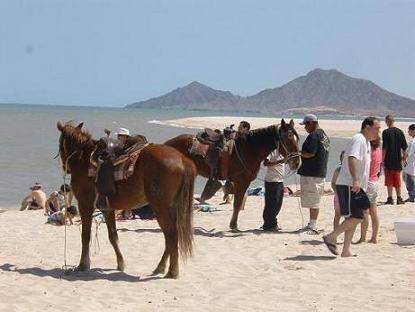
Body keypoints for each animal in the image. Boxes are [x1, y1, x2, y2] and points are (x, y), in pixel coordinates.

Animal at [56, 121, 197, 278]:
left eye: (60, 143)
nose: (65, 168)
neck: (85, 160)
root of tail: (183, 160)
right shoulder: (107, 208)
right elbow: (113, 236)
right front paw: (121, 264)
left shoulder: (85, 204)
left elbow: (85, 235)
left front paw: (83, 265)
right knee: (170, 236)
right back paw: (160, 267)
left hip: (160, 207)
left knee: (171, 235)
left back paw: (172, 271)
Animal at [166, 118, 302, 230]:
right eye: (289, 137)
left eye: (297, 138)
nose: (297, 162)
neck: (248, 149)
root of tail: (168, 144)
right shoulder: (241, 181)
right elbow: (237, 203)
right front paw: (233, 225)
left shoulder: (243, 182)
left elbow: (239, 202)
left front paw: (234, 225)